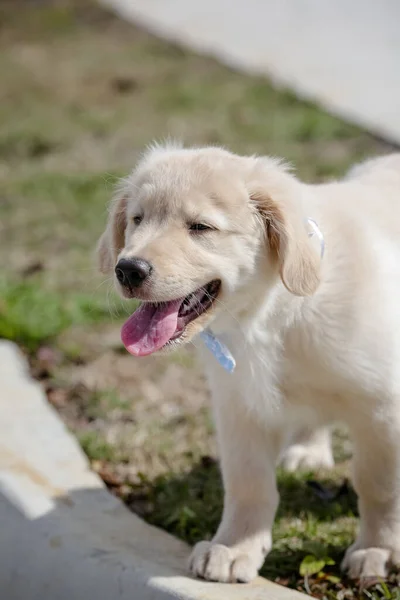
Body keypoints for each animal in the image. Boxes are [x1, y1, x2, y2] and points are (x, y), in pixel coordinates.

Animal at [97, 144, 400, 580]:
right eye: (138, 219)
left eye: (201, 227)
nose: (127, 269)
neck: (271, 314)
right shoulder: (239, 405)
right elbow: (248, 483)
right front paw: (235, 546)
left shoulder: (383, 408)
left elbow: (377, 483)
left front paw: (378, 548)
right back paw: (308, 448)